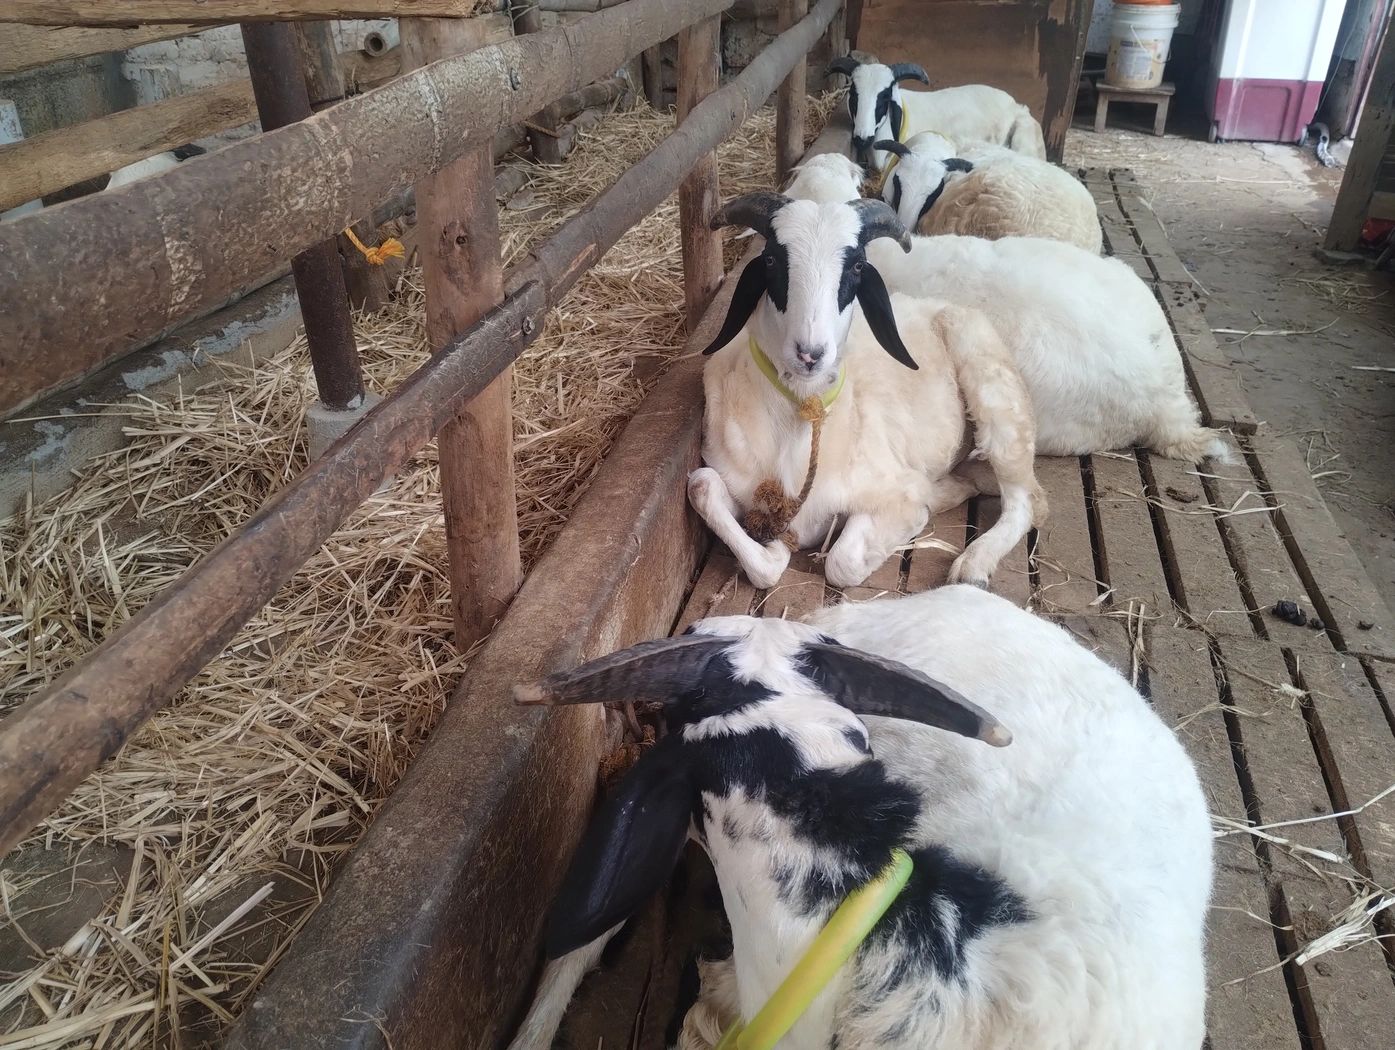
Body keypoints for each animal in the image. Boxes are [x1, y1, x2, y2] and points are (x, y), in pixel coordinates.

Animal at [683, 191, 1044, 592]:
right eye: (772, 260)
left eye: (856, 267)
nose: (810, 353)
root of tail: (934, 303)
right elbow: (705, 489)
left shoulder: (892, 490)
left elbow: (843, 563)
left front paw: (931, 502)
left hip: (997, 391)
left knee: (1027, 499)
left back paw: (973, 563)